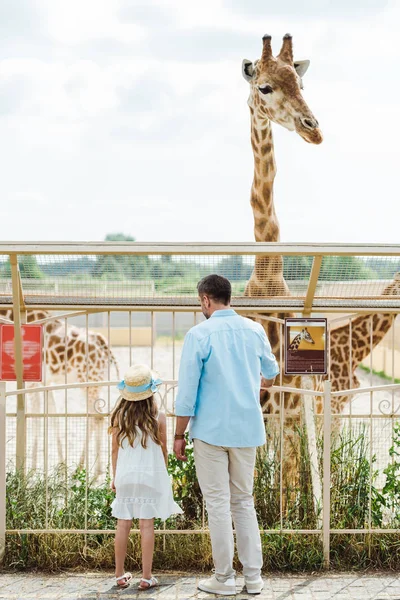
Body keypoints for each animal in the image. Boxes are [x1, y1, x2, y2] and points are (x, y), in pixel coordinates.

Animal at [0, 310, 119, 474]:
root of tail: (106, 347)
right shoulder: (46, 383)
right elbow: (52, 415)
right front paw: (62, 466)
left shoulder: (31, 382)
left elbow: (34, 416)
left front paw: (31, 470)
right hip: (95, 382)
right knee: (97, 416)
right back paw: (90, 470)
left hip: (89, 382)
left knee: (96, 417)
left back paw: (91, 472)